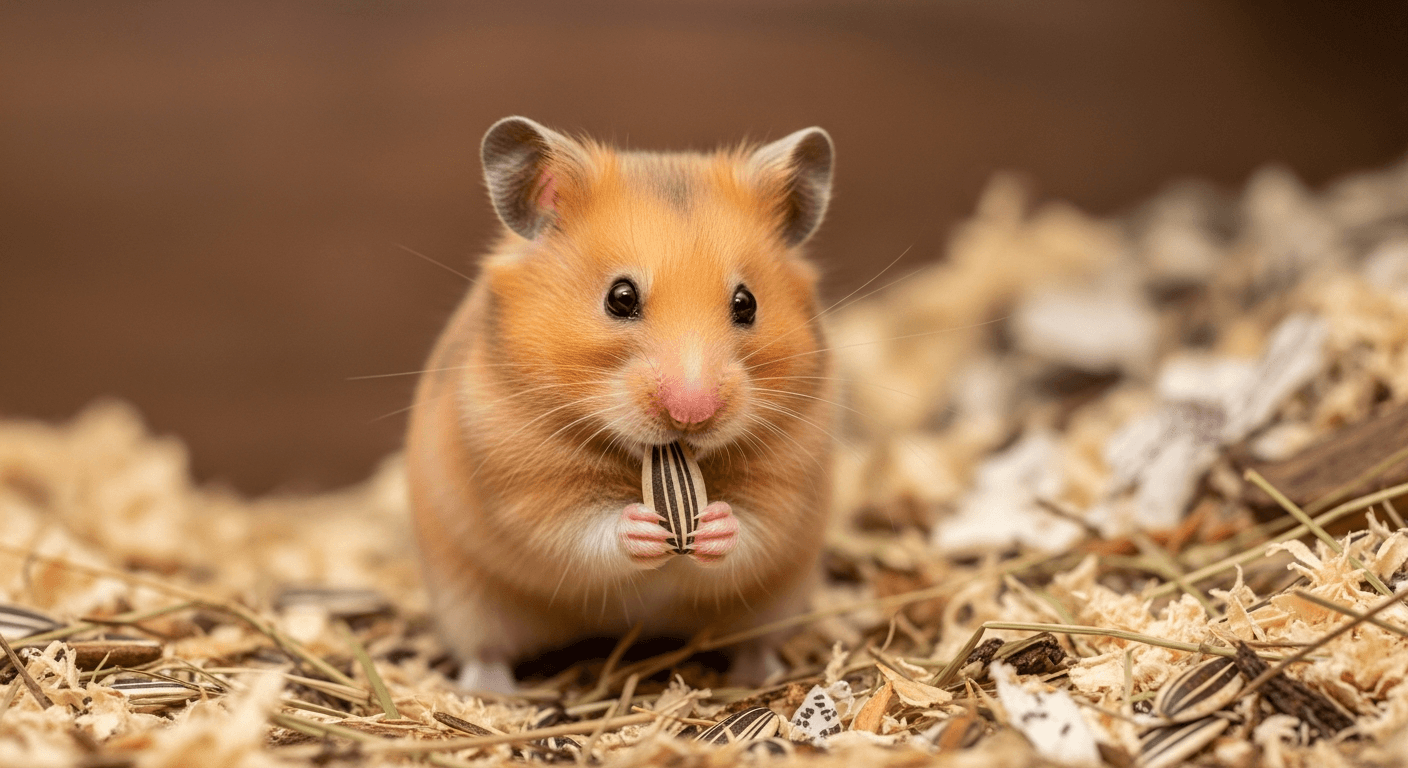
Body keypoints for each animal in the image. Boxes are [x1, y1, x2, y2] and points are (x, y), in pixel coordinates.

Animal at [406, 116, 836, 692]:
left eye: (746, 304)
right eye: (621, 297)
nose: (692, 412)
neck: (643, 458)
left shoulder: (793, 474)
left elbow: (755, 529)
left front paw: (711, 525)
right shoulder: (519, 481)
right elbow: (580, 533)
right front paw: (644, 527)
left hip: (778, 601)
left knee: (756, 639)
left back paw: (759, 674)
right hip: (466, 596)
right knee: (484, 648)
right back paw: (487, 692)